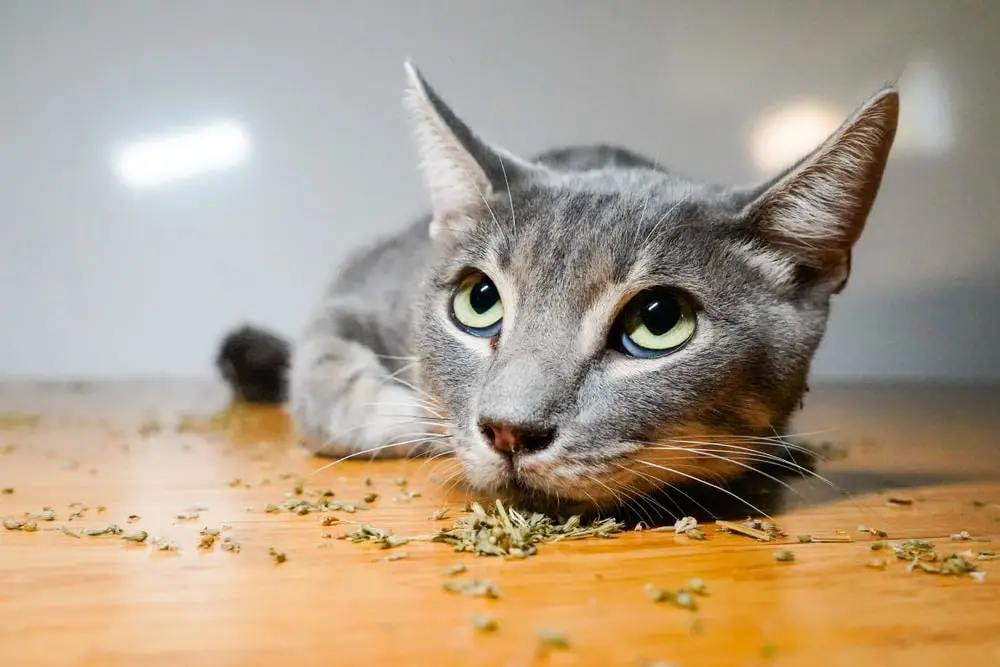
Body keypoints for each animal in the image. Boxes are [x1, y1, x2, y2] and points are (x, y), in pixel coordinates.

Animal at [217, 60, 900, 516]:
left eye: (659, 321)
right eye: (478, 301)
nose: (507, 431)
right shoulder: (354, 291)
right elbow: (326, 372)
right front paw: (417, 420)